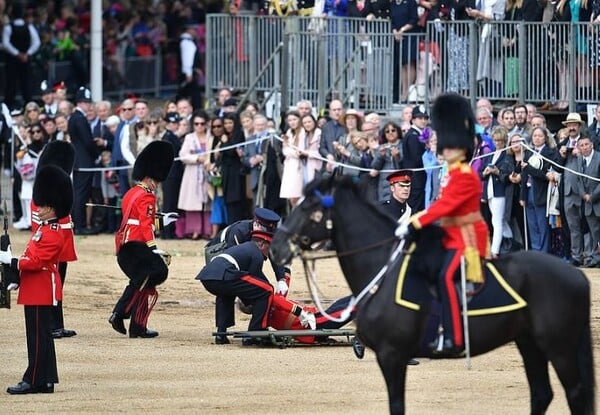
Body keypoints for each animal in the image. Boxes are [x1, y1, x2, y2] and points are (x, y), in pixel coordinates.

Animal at [272, 176, 596, 415]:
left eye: (311, 207)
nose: (276, 247)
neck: (383, 268)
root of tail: (575, 274)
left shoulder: (392, 355)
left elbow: (397, 406)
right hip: (529, 342)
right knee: (542, 394)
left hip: (559, 346)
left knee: (575, 394)